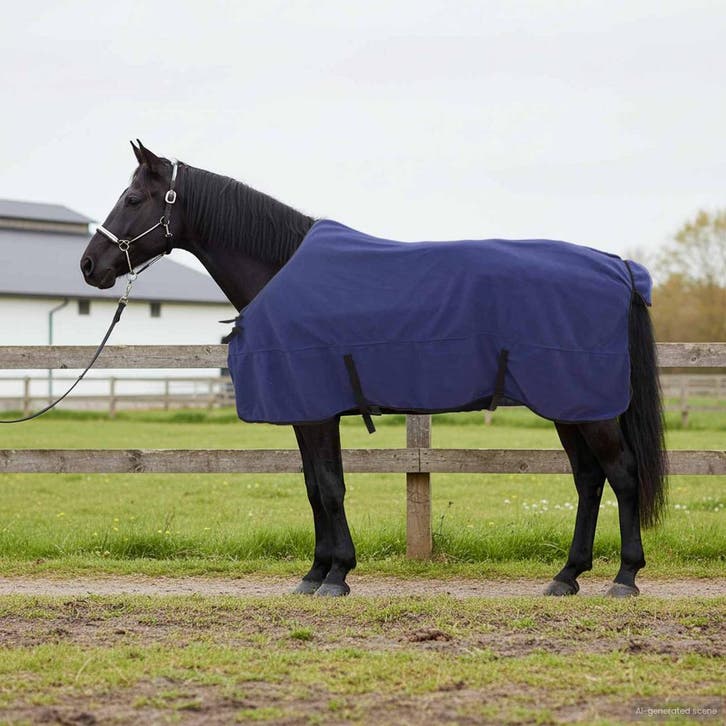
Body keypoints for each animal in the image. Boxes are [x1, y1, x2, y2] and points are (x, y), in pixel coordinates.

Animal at [80, 141, 667, 598]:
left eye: (132, 199)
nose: (89, 265)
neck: (280, 269)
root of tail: (617, 267)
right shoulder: (307, 413)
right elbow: (315, 486)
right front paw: (317, 572)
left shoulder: (316, 411)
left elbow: (329, 487)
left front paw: (336, 575)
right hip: (570, 406)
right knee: (589, 479)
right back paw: (567, 576)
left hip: (589, 408)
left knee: (622, 474)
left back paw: (624, 577)